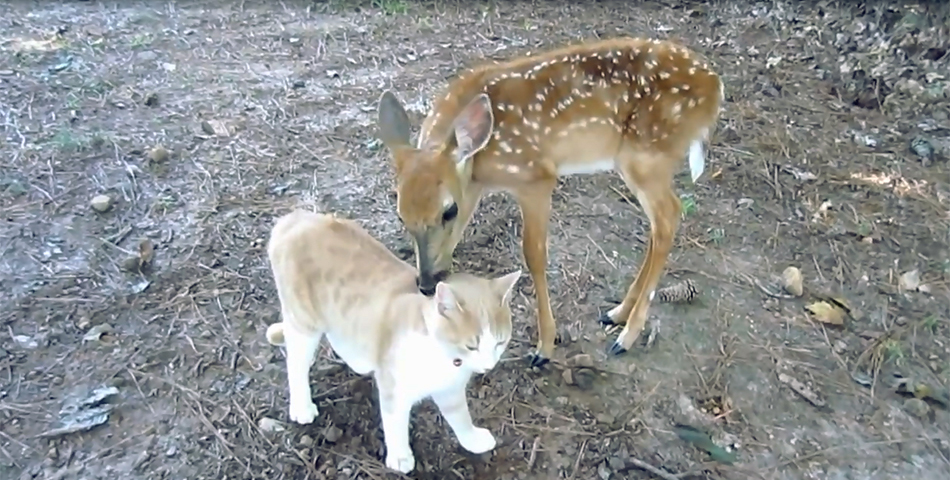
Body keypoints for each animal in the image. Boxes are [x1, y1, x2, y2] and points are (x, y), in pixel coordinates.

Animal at [266, 209, 520, 472]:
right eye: (472, 345)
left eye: (500, 342)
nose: (488, 366)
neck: (442, 355)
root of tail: (298, 217)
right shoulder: (394, 388)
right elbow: (395, 422)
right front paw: (399, 456)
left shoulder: (450, 390)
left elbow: (460, 416)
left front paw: (472, 439)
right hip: (304, 323)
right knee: (295, 363)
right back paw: (301, 406)